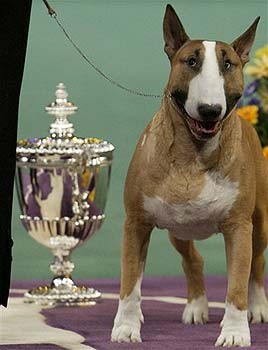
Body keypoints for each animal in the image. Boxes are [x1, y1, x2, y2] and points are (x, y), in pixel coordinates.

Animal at [111, 5, 268, 348]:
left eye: (228, 64)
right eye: (191, 62)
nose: (210, 110)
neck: (193, 154)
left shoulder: (239, 226)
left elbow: (237, 284)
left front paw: (234, 333)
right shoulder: (136, 223)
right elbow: (130, 281)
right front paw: (126, 328)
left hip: (260, 222)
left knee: (257, 264)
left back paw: (258, 307)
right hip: (178, 229)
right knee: (193, 259)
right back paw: (196, 307)